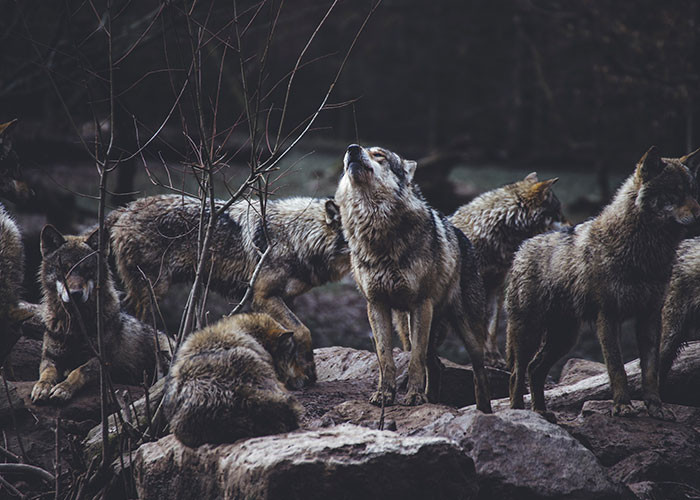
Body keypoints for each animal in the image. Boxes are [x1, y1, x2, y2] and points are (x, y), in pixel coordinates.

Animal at [30, 225, 173, 403]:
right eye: (64, 269)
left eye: (87, 270)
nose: (75, 294)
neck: (76, 326)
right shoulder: (50, 358)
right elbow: (47, 373)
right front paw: (42, 387)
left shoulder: (102, 361)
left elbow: (78, 371)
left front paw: (63, 388)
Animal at [106, 195, 349, 387]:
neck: (296, 236)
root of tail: (124, 209)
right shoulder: (264, 297)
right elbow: (303, 331)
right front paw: (308, 372)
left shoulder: (287, 298)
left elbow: (292, 336)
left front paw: (299, 374)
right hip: (153, 292)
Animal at [335, 144, 492, 412]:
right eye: (357, 149)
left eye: (379, 154)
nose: (352, 149)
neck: (377, 232)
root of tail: (463, 237)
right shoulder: (376, 305)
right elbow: (385, 358)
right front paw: (384, 395)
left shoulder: (420, 304)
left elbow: (415, 361)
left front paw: (415, 397)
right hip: (407, 327)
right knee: (436, 364)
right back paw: (433, 399)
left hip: (466, 331)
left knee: (478, 373)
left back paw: (484, 411)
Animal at [506, 146, 700, 421]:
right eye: (674, 192)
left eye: (693, 192)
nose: (698, 213)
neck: (644, 252)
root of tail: (522, 247)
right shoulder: (608, 317)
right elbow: (617, 368)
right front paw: (623, 406)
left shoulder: (650, 317)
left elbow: (651, 372)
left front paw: (656, 408)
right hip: (529, 333)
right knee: (517, 372)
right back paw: (519, 413)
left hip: (564, 338)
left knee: (535, 369)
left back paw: (541, 412)